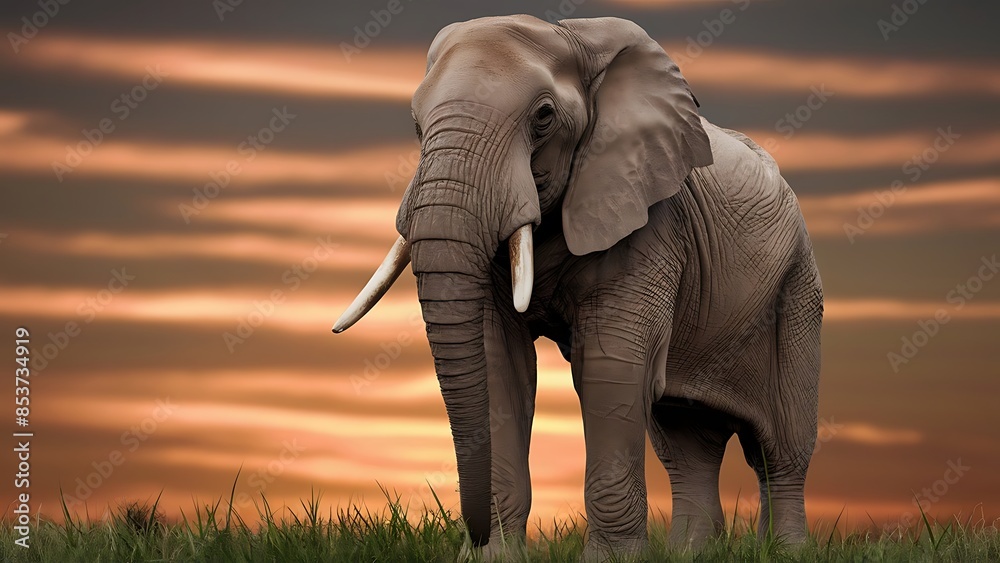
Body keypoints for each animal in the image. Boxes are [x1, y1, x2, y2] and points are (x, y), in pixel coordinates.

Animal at [333, 15, 823, 559]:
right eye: (416, 124)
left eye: (543, 117)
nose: (472, 533)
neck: (575, 36)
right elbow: (500, 363)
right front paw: (493, 557)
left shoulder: (649, 216)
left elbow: (610, 365)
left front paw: (611, 560)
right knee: (686, 442)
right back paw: (691, 553)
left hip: (798, 289)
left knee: (780, 449)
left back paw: (788, 550)